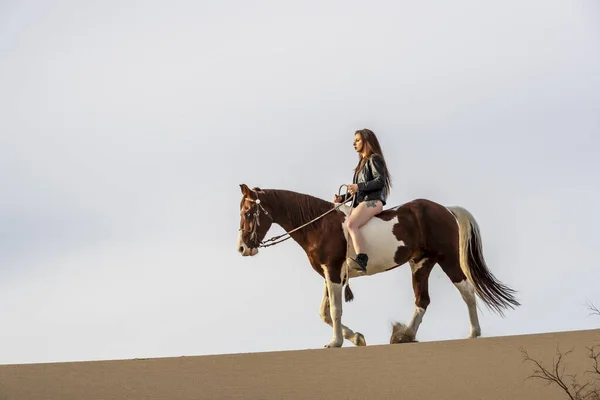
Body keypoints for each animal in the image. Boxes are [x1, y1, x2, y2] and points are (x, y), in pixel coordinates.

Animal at [237, 184, 516, 346]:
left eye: (249, 213)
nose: (242, 248)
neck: (320, 225)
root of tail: (446, 210)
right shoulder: (331, 274)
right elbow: (324, 312)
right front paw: (356, 338)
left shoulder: (333, 271)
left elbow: (335, 311)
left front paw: (336, 342)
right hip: (420, 264)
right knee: (422, 300)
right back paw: (405, 336)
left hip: (447, 259)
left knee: (467, 290)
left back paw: (473, 333)